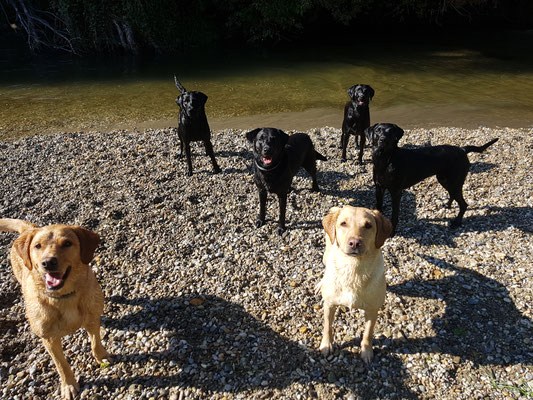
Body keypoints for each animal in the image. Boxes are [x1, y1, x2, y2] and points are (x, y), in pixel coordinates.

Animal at [366, 122, 498, 234]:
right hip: (444, 179)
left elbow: (394, 216)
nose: (383, 140)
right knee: (453, 195)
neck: (385, 160)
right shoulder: (379, 187)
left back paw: (456, 222)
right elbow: (378, 206)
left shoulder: (396, 192)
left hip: (455, 181)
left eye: (391, 132)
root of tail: (462, 149)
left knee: (463, 204)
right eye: (377, 131)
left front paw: (392, 232)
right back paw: (447, 206)